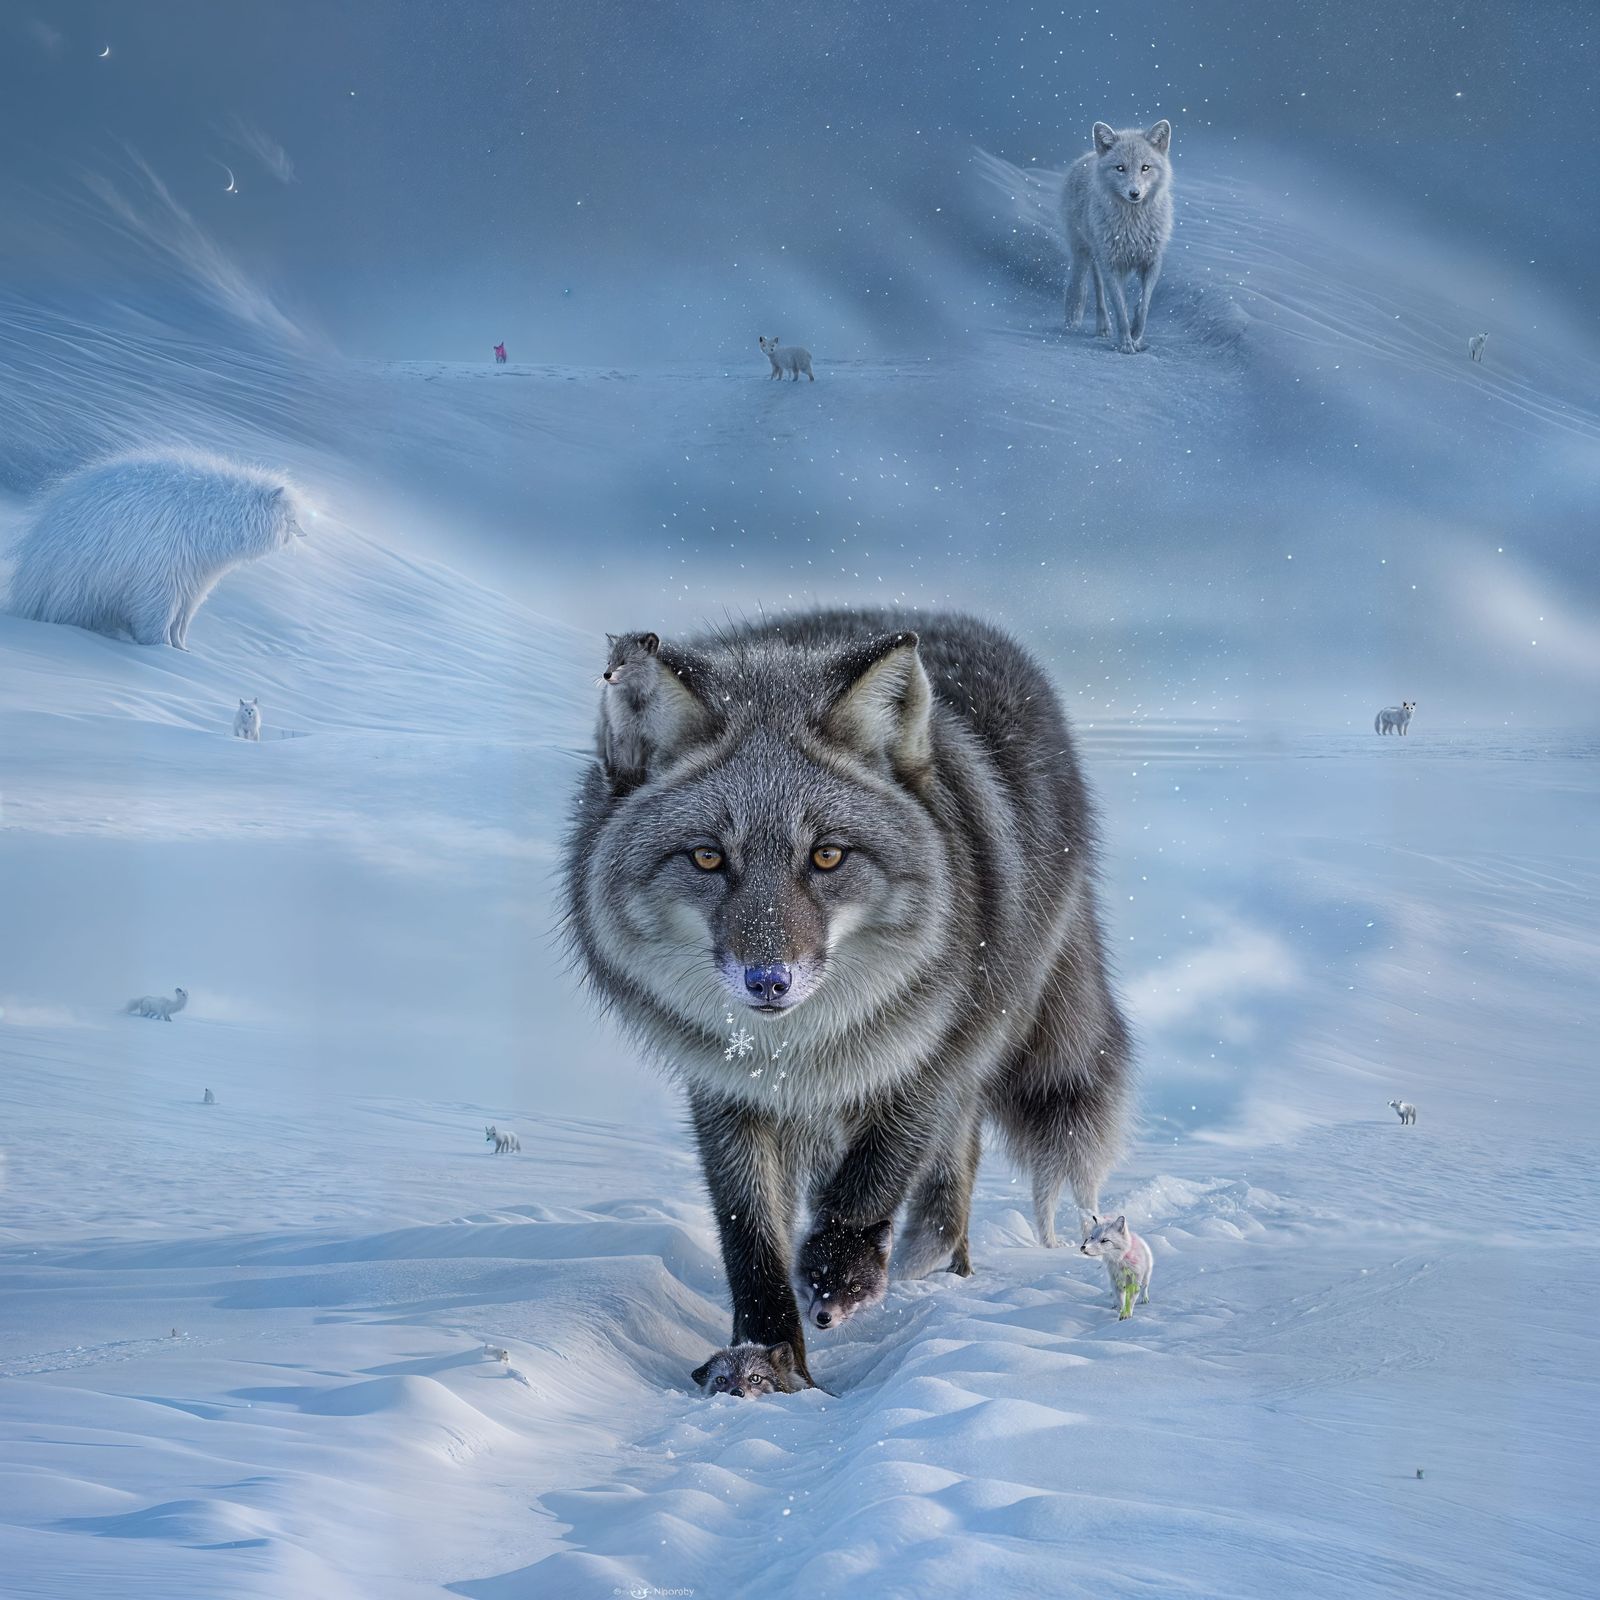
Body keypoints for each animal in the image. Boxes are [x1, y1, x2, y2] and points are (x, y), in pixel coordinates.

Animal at [564, 610, 1132, 1387]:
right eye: (708, 857)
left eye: (827, 856)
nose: (768, 981)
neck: (798, 1055)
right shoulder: (726, 1092)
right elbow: (751, 1240)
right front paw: (769, 1360)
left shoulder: (929, 1063)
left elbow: (871, 1181)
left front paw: (839, 1277)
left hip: (985, 1035)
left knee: (952, 1169)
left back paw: (936, 1267)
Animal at [1061, 120, 1174, 353]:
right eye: (1120, 168)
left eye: (1145, 168)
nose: (1134, 193)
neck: (1134, 226)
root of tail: (1086, 157)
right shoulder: (1111, 265)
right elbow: (1119, 308)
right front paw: (1125, 343)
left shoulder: (1152, 261)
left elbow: (1144, 305)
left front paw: (1136, 335)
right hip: (1085, 254)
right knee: (1089, 288)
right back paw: (1089, 323)